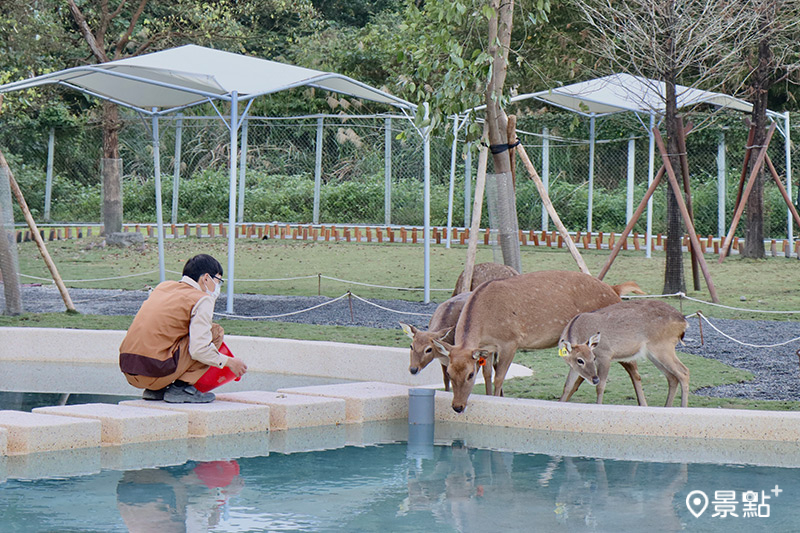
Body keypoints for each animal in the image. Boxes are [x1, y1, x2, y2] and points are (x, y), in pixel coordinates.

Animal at [432, 270, 644, 412]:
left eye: (469, 375)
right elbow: (487, 375)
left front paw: (498, 400)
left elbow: (499, 377)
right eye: (449, 373)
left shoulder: (510, 342)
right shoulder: (488, 347)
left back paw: (644, 405)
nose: (457, 407)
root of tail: (614, 290)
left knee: (634, 370)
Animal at [556, 300, 688, 408]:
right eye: (580, 360)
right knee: (672, 377)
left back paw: (682, 407)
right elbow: (567, 386)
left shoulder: (605, 355)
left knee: (684, 372)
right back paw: (667, 407)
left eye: (593, 357)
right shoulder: (573, 367)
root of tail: (684, 321)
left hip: (663, 347)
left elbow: (600, 387)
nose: (594, 379)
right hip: (653, 354)